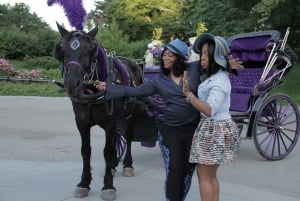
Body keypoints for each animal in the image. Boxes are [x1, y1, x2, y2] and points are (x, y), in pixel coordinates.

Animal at [53, 23, 155, 199]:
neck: (92, 93)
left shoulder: (110, 122)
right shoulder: (81, 123)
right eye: (63, 51)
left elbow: (107, 151)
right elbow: (86, 151)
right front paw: (84, 183)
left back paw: (127, 165)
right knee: (117, 139)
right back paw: (113, 165)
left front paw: (108, 186)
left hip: (131, 113)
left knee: (128, 137)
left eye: (90, 51)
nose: (72, 84)